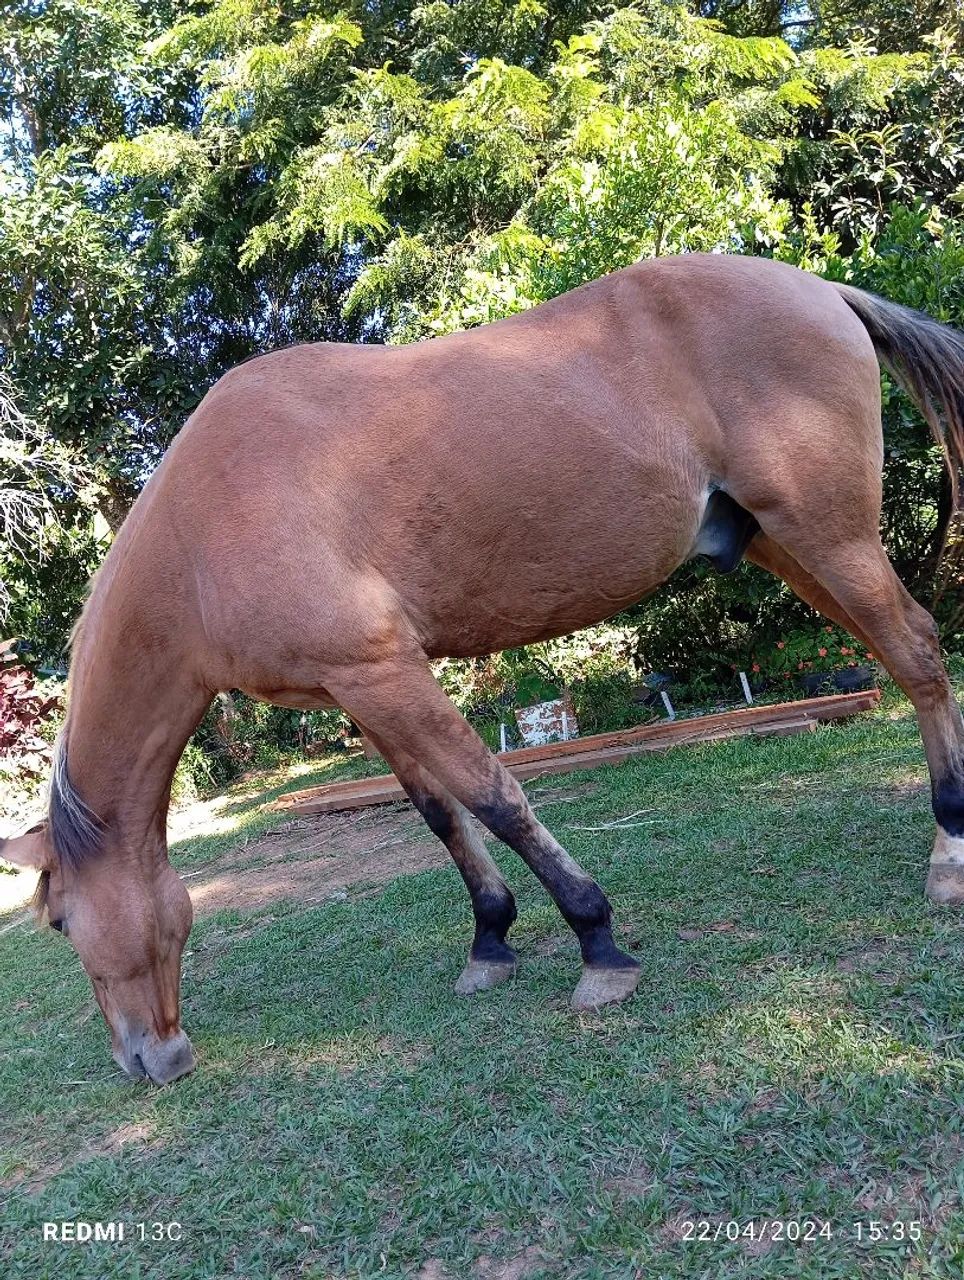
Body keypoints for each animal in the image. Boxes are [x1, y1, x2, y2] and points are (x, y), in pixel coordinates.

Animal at [2, 253, 962, 1086]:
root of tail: (822, 290)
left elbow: (494, 795)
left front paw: (597, 943)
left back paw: (948, 850)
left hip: (828, 537)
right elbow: (440, 813)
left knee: (918, 655)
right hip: (790, 548)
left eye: (58, 921)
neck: (202, 532)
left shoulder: (385, 672)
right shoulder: (361, 687)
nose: (141, 1058)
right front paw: (490, 940)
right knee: (902, 655)